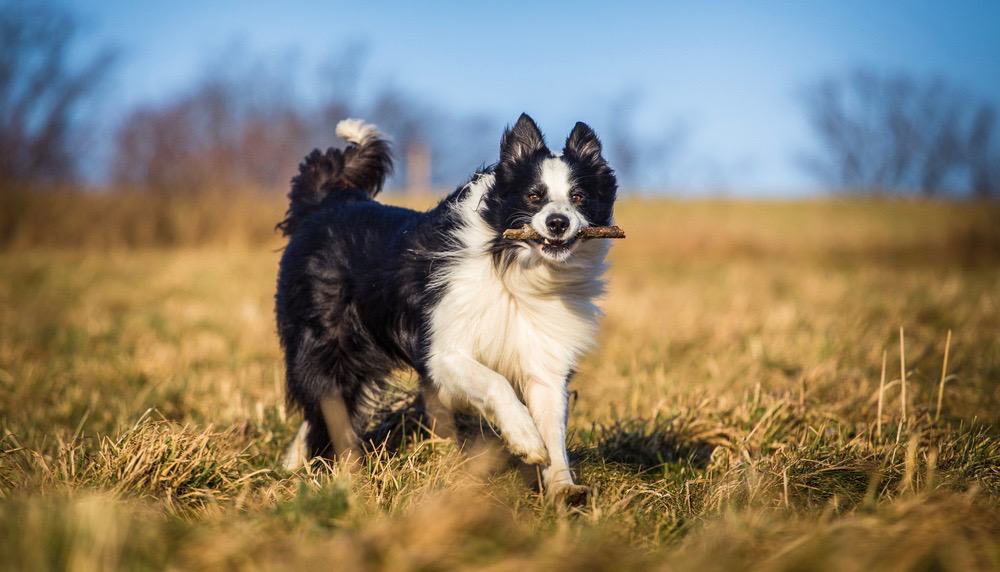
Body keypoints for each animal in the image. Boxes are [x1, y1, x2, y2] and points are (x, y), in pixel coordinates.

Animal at [276, 113, 616, 500]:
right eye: (533, 196)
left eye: (579, 196)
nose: (558, 223)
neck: (513, 266)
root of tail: (327, 202)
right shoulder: (443, 353)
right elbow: (496, 382)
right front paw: (526, 440)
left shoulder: (545, 360)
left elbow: (553, 427)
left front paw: (563, 487)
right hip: (327, 343)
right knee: (325, 402)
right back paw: (336, 470)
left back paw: (297, 467)